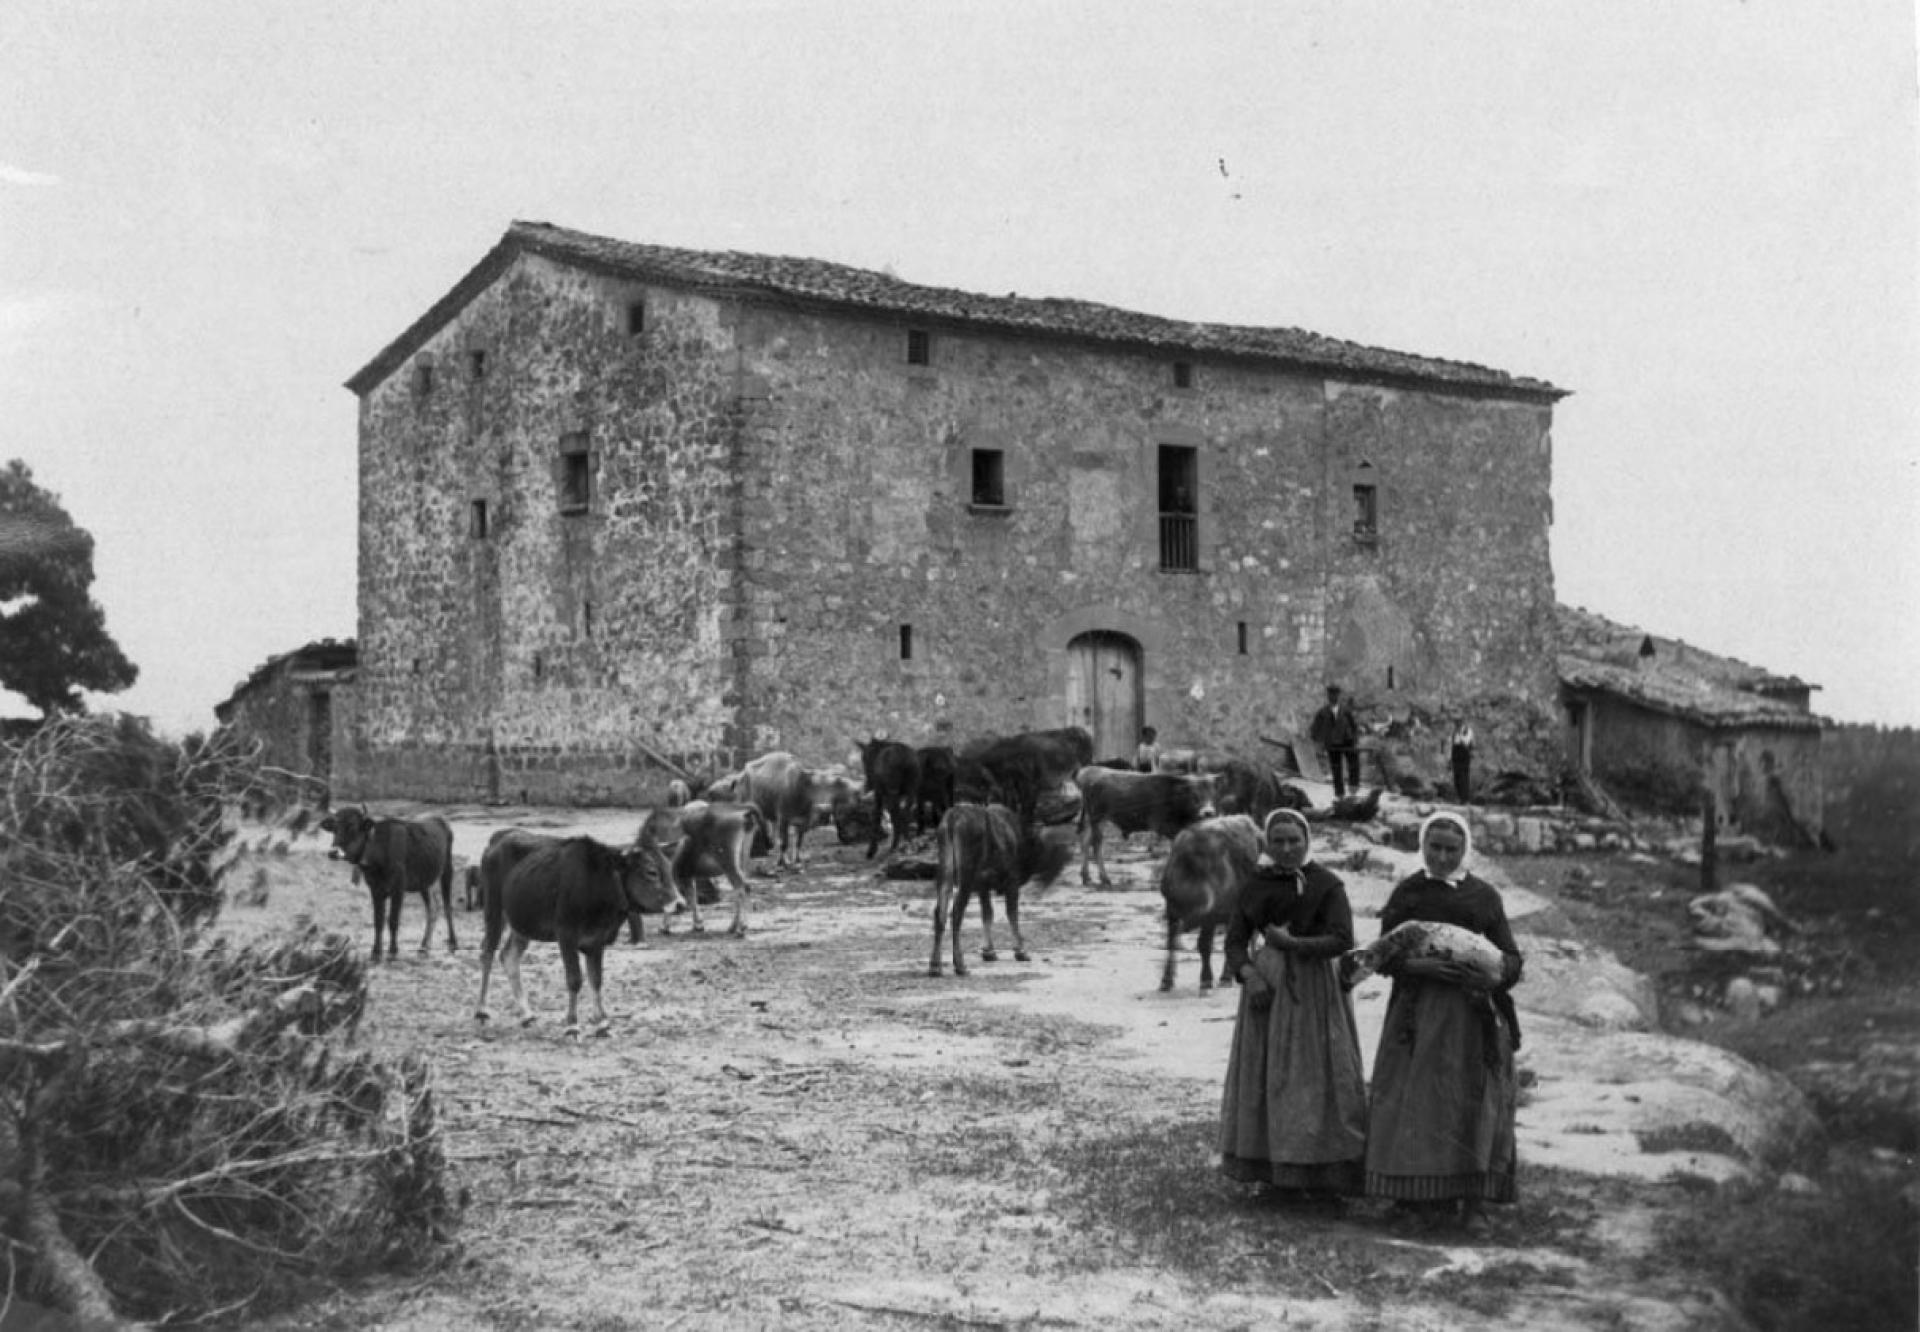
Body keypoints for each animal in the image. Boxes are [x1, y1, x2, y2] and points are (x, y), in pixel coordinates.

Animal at [322, 802, 460, 959]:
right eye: (334, 828)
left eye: (352, 827)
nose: (333, 852)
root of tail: (441, 819)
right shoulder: (375, 889)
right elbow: (378, 920)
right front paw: (376, 951)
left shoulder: (398, 888)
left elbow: (393, 920)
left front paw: (393, 951)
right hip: (424, 881)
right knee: (432, 908)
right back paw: (424, 947)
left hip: (447, 870)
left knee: (447, 906)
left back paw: (453, 944)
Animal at [470, 836, 675, 1044]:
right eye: (651, 871)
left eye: (669, 868)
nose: (679, 903)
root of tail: (496, 843)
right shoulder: (566, 936)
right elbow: (575, 979)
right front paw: (572, 1026)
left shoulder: (596, 941)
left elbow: (596, 979)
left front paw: (603, 1025)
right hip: (494, 909)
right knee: (487, 953)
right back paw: (482, 1011)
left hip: (522, 923)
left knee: (508, 955)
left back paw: (527, 1015)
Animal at [921, 802, 1075, 982]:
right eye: (1058, 845)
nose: (1069, 856)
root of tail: (952, 818)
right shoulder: (1011, 880)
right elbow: (1012, 914)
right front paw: (1020, 951)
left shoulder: (983, 886)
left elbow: (988, 914)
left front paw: (989, 951)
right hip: (966, 875)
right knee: (956, 912)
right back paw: (960, 965)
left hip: (945, 873)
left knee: (940, 912)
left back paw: (935, 966)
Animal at [1075, 771, 1221, 886]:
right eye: (1195, 795)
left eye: (1213, 794)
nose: (1208, 812)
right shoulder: (1167, 828)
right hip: (1098, 818)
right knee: (1096, 845)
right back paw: (1104, 878)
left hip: (1092, 819)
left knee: (1085, 841)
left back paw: (1086, 876)